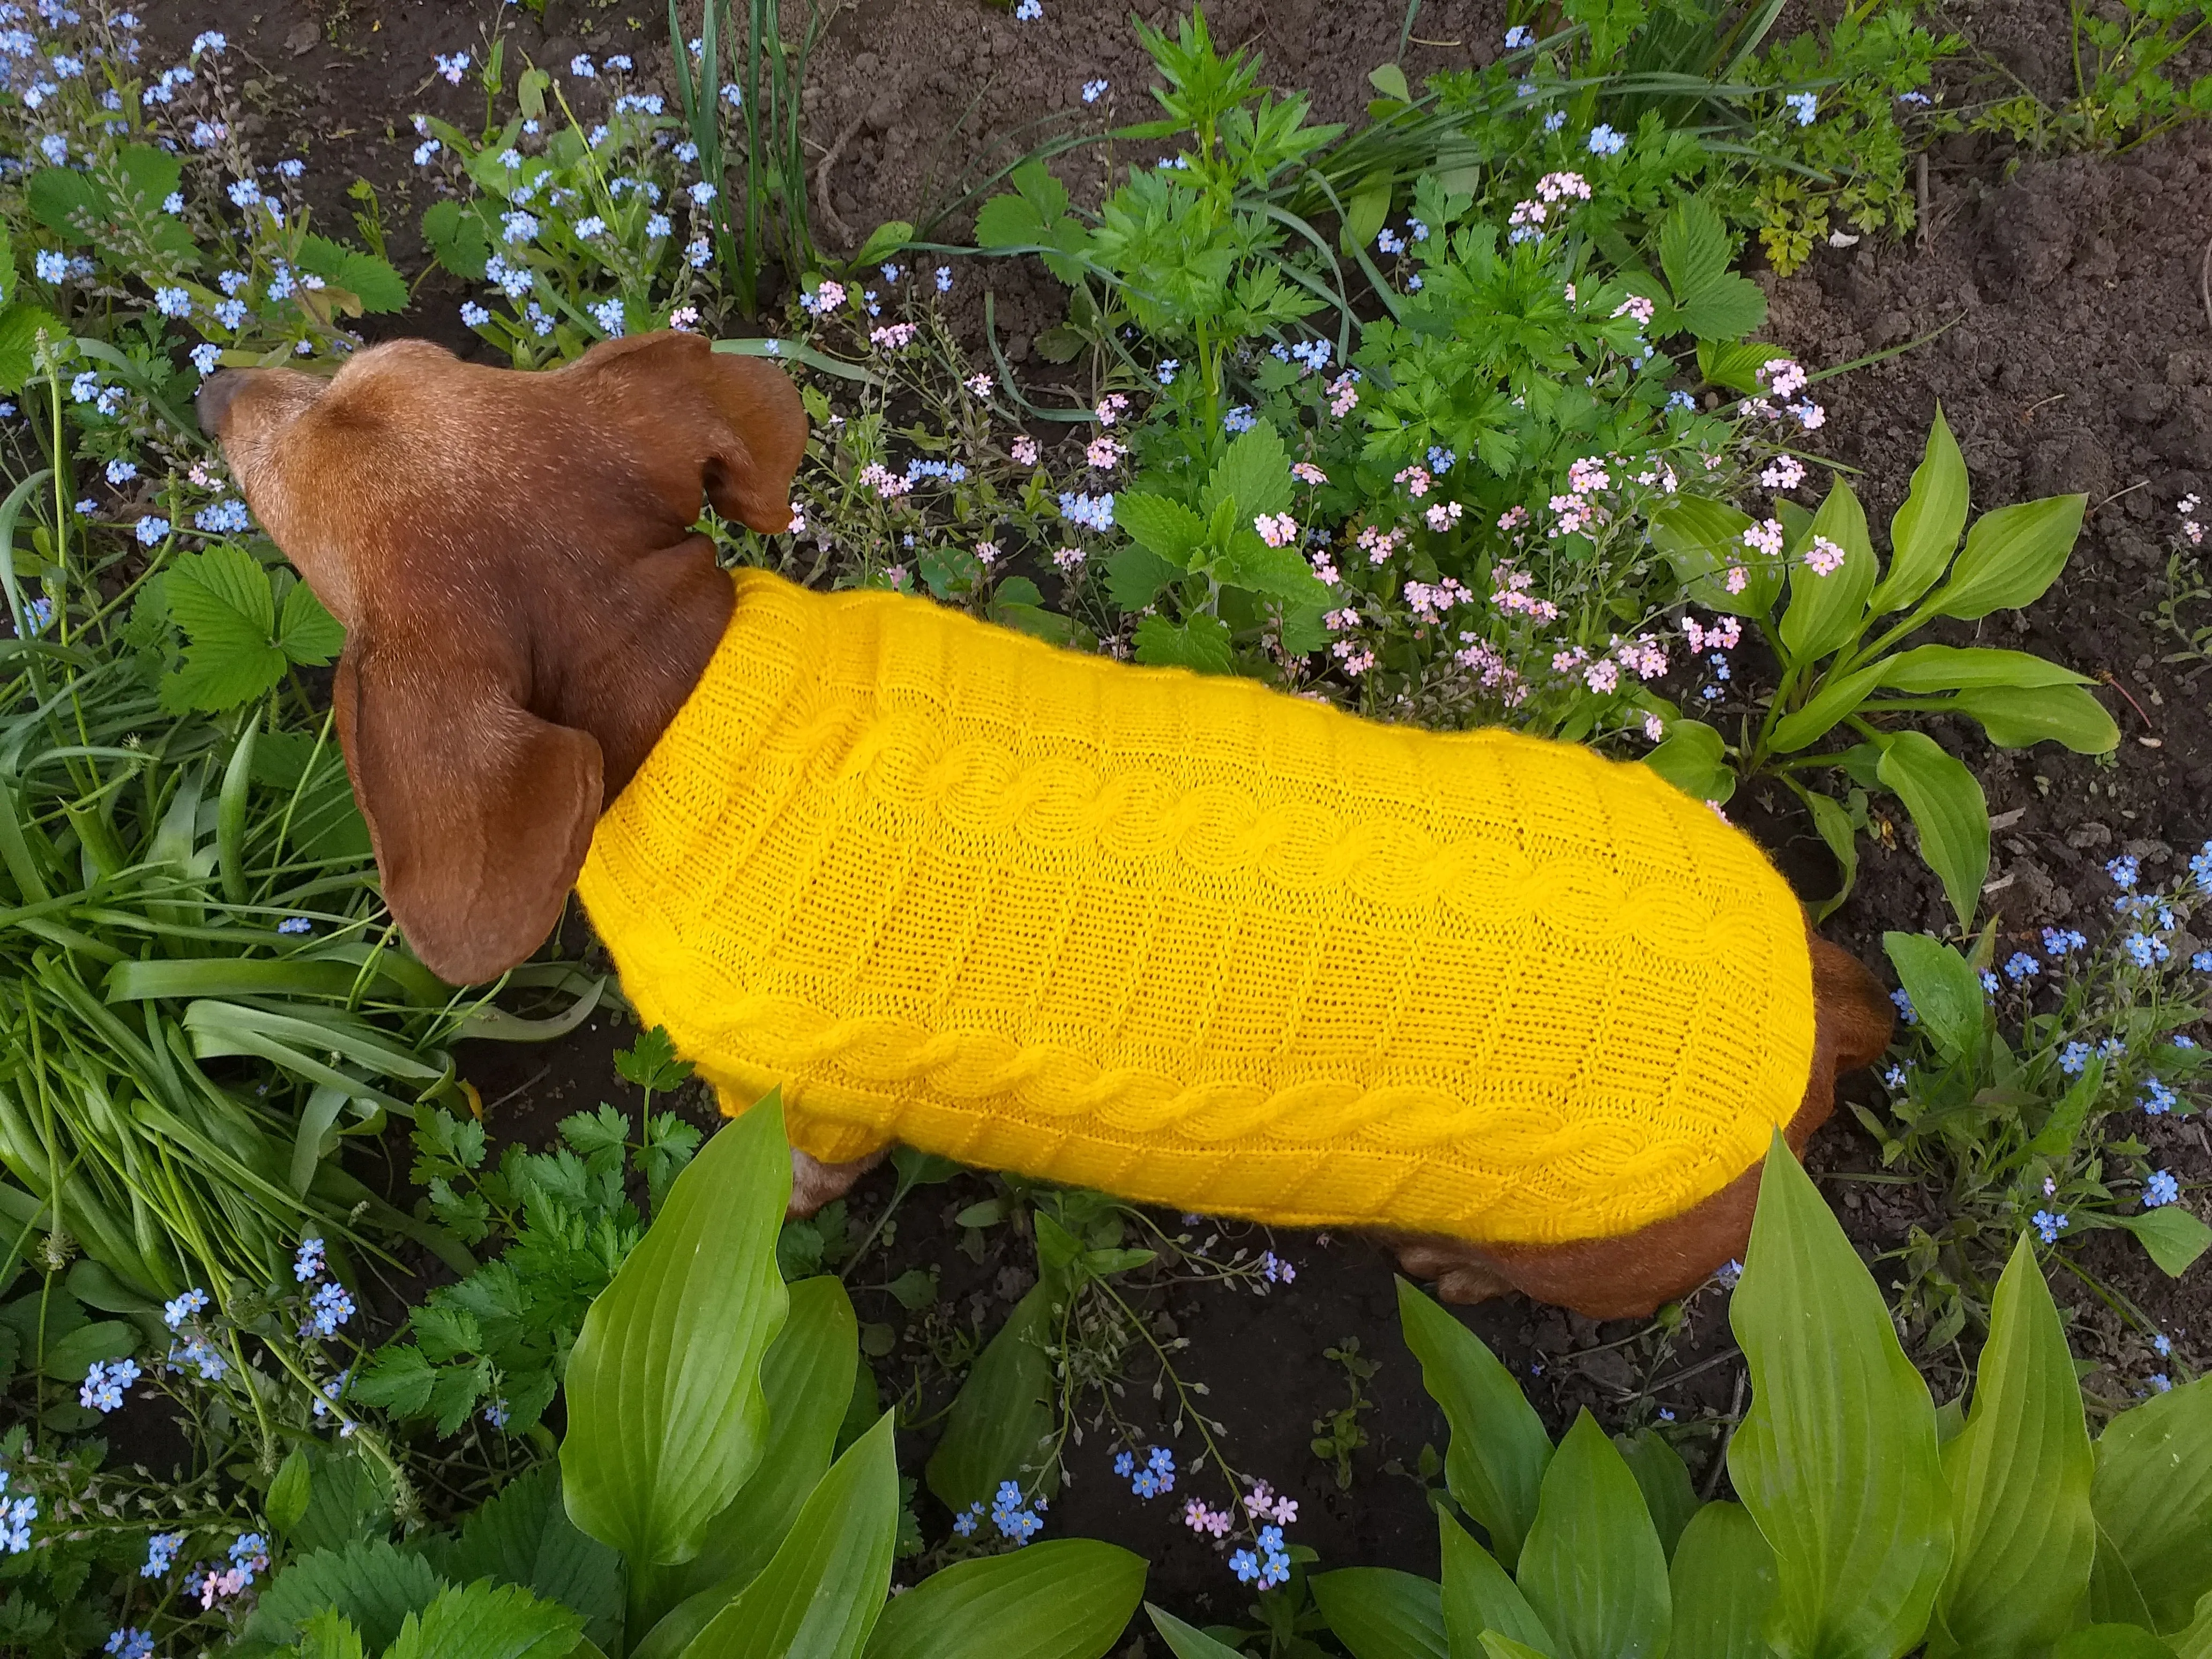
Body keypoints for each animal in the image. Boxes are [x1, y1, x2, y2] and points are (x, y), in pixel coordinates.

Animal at [203, 334, 1885, 1327]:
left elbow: (789, 1179)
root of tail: (1820, 1009)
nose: (219, 376)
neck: (680, 692)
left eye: (300, 453)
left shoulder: (805, 1113)